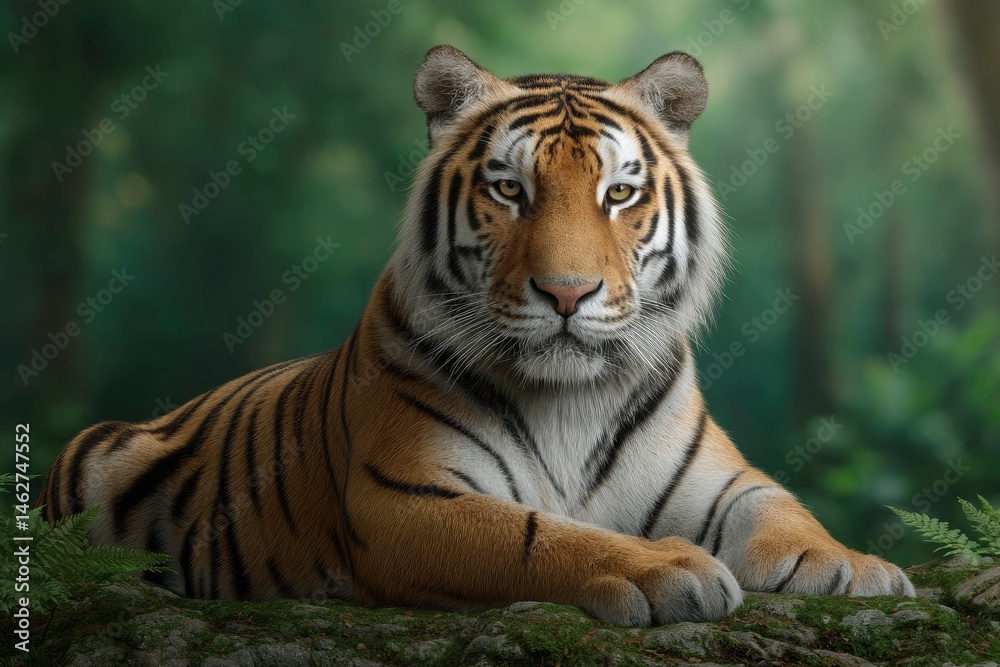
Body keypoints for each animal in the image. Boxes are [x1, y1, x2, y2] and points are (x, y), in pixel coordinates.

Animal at [38, 45, 915, 627]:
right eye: (509, 189)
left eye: (619, 193)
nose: (568, 292)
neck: (572, 399)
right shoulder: (407, 497)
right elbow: (540, 535)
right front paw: (668, 565)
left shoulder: (721, 478)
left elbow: (782, 508)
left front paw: (853, 565)